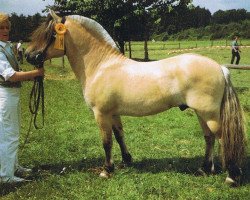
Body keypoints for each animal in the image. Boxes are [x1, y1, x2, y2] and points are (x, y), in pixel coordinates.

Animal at [24, 10, 246, 186]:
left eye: (49, 34)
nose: (27, 54)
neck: (101, 66)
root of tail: (220, 68)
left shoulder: (101, 114)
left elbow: (106, 142)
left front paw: (106, 170)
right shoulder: (113, 114)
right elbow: (119, 136)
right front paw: (126, 161)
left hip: (210, 114)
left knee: (223, 138)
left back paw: (231, 177)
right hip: (202, 113)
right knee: (209, 138)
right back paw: (204, 169)